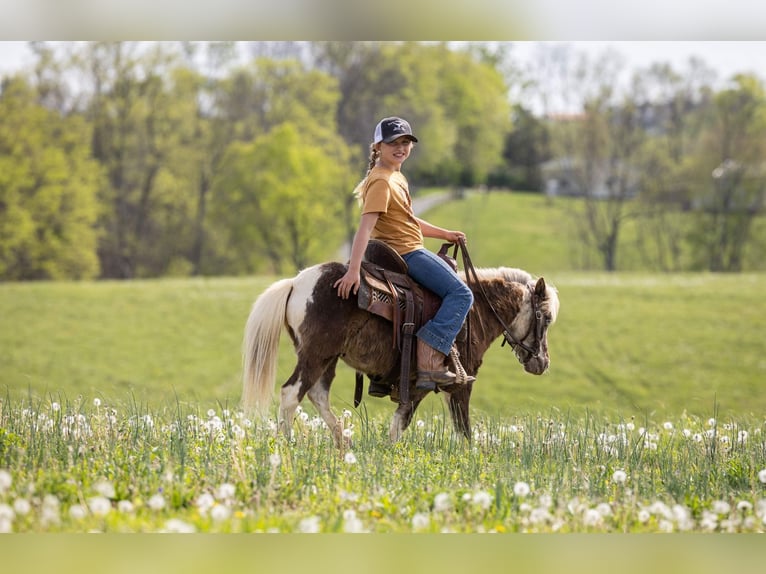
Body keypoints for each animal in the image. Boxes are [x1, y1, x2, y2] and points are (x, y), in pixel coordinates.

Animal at [241, 259, 559, 447]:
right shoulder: (458, 383)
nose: (542, 363)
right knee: (291, 393)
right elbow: (463, 430)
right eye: (546, 318)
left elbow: (399, 424)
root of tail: (296, 283)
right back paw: (287, 445)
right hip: (315, 355)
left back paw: (344, 443)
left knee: (317, 395)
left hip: (326, 359)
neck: (476, 311)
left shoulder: (420, 384)